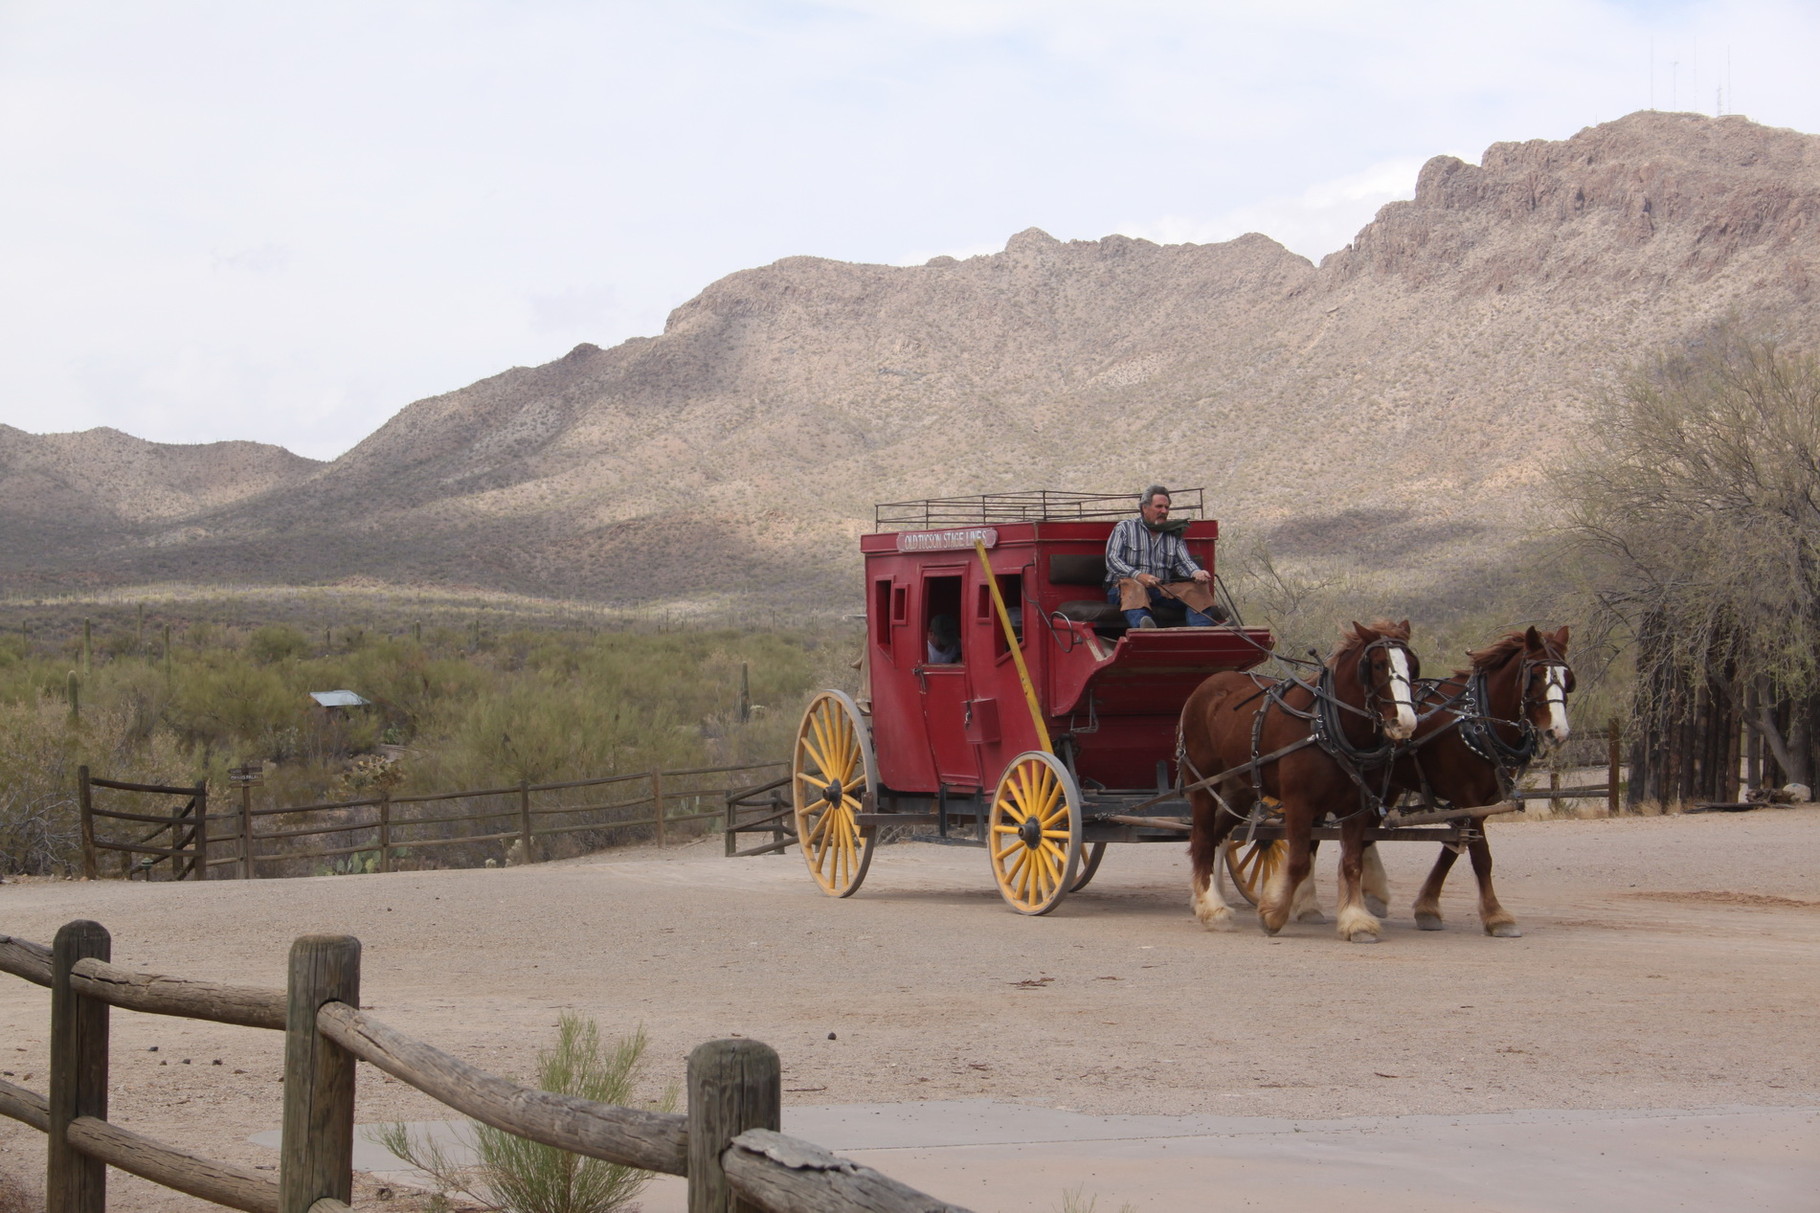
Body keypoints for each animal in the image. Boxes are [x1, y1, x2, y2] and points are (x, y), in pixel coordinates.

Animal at [1179, 619, 1419, 939]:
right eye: (1379, 665)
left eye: (1413, 667)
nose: (1404, 722)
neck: (1326, 726)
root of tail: (1206, 687)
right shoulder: (1299, 803)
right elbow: (1298, 861)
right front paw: (1273, 914)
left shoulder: (1358, 807)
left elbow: (1352, 862)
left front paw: (1356, 919)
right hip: (1204, 783)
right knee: (1203, 839)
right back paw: (1212, 907)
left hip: (1240, 790)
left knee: (1217, 837)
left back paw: (1206, 899)